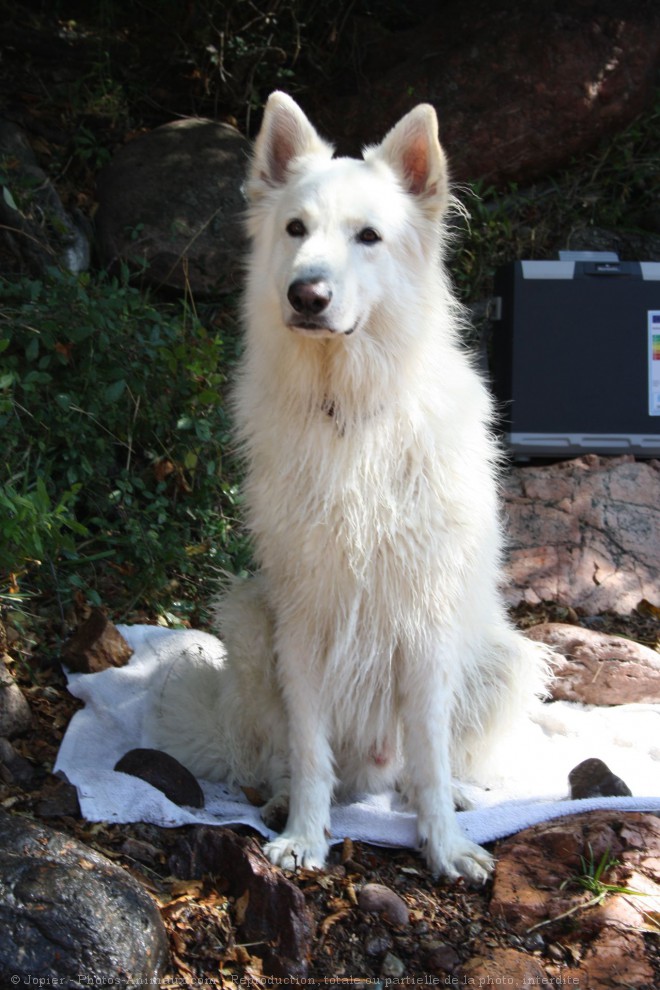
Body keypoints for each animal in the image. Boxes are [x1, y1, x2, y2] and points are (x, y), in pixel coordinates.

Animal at [151, 93, 552, 884]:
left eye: (368, 237)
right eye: (295, 229)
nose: (306, 294)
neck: (350, 413)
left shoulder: (426, 626)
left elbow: (429, 754)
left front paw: (444, 844)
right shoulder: (303, 623)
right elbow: (308, 751)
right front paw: (305, 836)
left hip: (501, 655)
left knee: (423, 767)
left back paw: (454, 797)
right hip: (250, 618)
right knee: (280, 757)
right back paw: (281, 798)